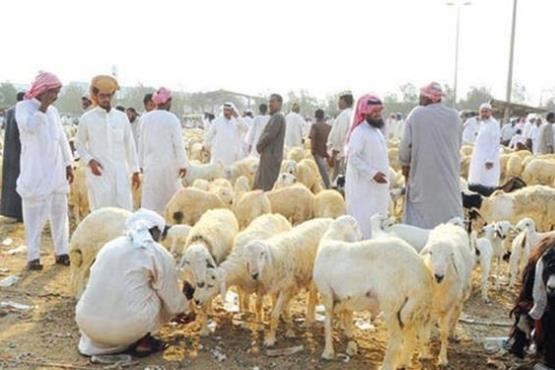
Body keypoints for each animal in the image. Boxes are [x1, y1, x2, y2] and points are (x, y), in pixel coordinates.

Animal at [242, 217, 330, 346]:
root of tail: (329, 219)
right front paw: (288, 328)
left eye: (262, 254)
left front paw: (271, 339)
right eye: (246, 256)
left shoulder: (287, 286)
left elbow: (274, 315)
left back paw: (308, 321)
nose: (254, 274)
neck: (273, 260)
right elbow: (281, 308)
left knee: (312, 296)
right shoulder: (279, 286)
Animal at [314, 215, 432, 368]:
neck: (331, 239)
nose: (363, 236)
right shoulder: (345, 298)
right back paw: (402, 363)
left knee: (396, 338)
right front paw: (350, 342)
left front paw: (327, 353)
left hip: (391, 304)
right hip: (408, 309)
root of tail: (419, 274)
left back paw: (386, 366)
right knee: (410, 337)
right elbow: (347, 319)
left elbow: (327, 323)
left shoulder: (326, 293)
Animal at [422, 223, 474, 368]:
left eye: (450, 255)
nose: (438, 276)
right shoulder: (428, 306)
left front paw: (443, 359)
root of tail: (450, 224)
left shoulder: (449, 306)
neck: (439, 287)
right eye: (430, 252)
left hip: (461, 295)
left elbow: (444, 333)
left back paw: (453, 333)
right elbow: (425, 331)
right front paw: (424, 353)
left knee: (457, 315)